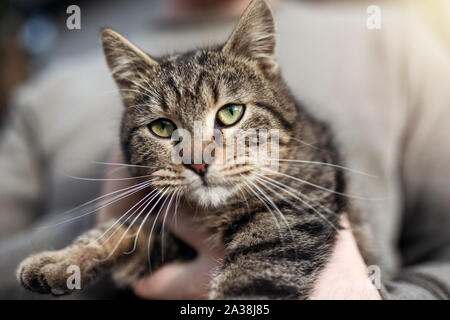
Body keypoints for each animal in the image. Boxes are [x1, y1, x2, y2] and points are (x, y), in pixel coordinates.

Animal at [17, 0, 370, 300]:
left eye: (231, 113)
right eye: (162, 127)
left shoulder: (286, 224)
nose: (198, 163)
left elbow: (246, 284)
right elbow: (118, 229)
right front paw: (63, 259)